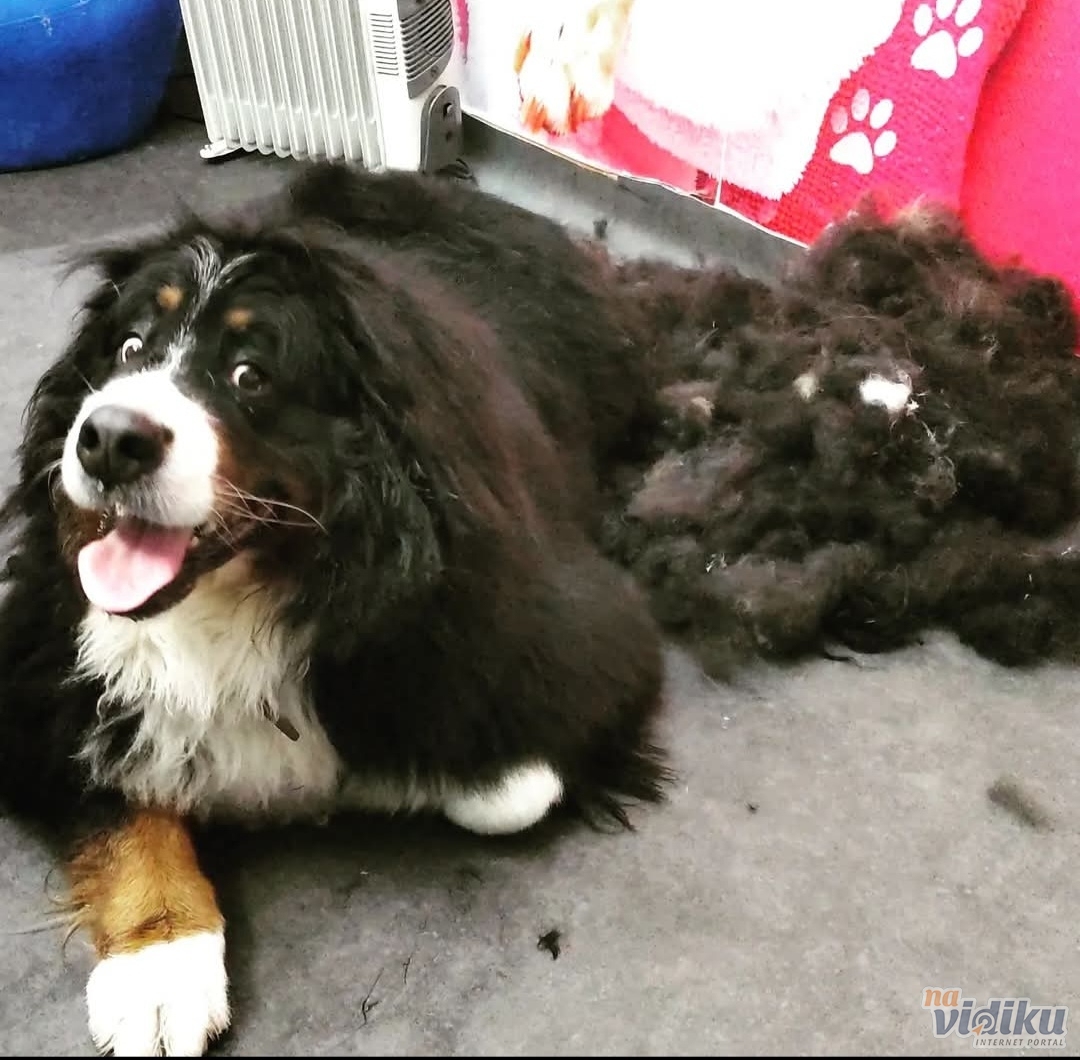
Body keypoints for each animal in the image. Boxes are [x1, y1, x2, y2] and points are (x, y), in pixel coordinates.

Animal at [0, 163, 672, 1056]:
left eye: (251, 375)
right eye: (130, 348)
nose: (108, 439)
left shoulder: (577, 637)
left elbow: (504, 791)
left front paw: (382, 783)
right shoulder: (36, 667)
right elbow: (124, 805)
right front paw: (159, 967)